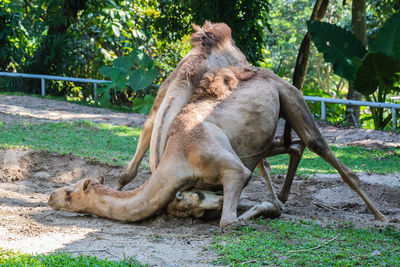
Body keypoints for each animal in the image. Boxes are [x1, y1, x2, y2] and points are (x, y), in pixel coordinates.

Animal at [47, 66, 388, 227]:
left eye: (70, 191)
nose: (50, 197)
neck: (177, 159)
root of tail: (266, 72)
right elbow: (192, 203)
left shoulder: (232, 168)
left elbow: (228, 220)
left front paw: (271, 208)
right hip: (260, 136)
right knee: (291, 147)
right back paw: (284, 195)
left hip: (289, 95)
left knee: (316, 145)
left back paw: (381, 218)